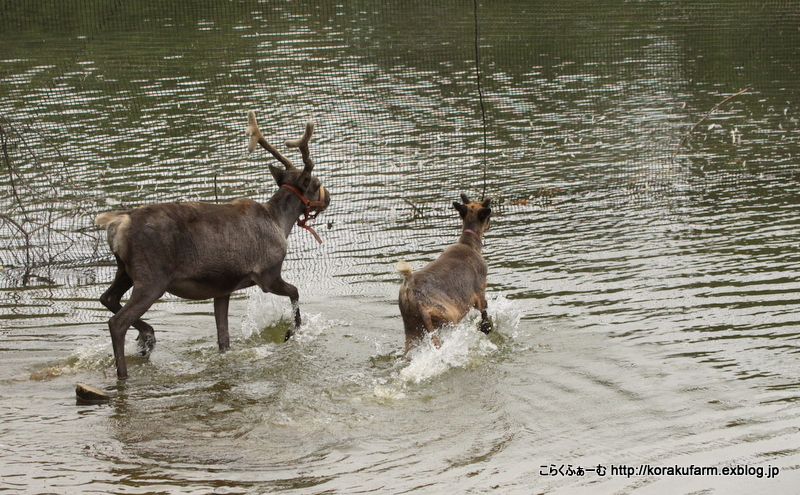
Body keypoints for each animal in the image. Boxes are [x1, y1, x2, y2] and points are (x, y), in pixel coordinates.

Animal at [95, 112, 330, 382]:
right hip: (152, 279)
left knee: (107, 297)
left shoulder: (222, 288)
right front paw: (292, 332)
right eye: (316, 183)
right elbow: (295, 293)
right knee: (117, 322)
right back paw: (125, 371)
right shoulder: (268, 275)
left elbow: (223, 339)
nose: (328, 197)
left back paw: (147, 336)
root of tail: (116, 224)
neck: (280, 222)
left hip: (124, 271)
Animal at [396, 195, 490, 356]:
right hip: (448, 314)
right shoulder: (479, 292)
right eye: (488, 217)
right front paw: (486, 328)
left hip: (411, 329)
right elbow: (484, 311)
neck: (469, 243)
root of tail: (408, 289)